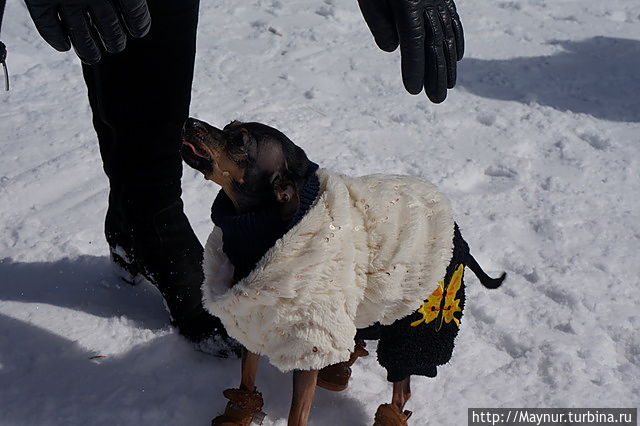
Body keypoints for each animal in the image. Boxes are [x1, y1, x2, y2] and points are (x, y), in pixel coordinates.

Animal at [182, 117, 508, 426]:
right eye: (229, 125)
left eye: (239, 141)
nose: (189, 121)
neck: (258, 232)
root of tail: (458, 236)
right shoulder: (253, 315)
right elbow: (247, 377)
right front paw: (239, 412)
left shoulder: (309, 341)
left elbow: (297, 413)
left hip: (417, 321)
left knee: (402, 389)